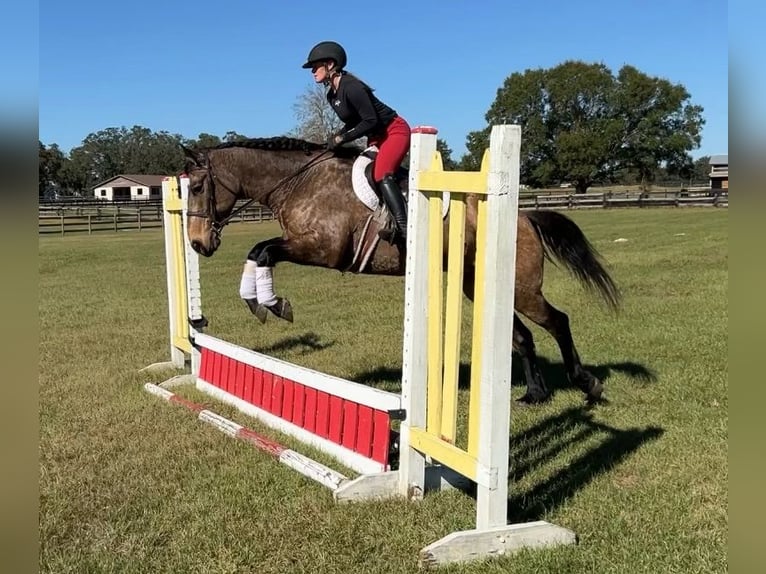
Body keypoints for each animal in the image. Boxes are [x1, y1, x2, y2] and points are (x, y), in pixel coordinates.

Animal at [182, 136, 624, 404]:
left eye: (199, 188)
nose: (199, 244)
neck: (297, 181)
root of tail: (525, 217)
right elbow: (258, 252)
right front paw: (258, 302)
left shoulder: (322, 249)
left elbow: (263, 251)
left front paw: (273, 304)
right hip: (479, 285)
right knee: (522, 337)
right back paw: (534, 394)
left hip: (522, 289)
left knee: (558, 321)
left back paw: (588, 384)